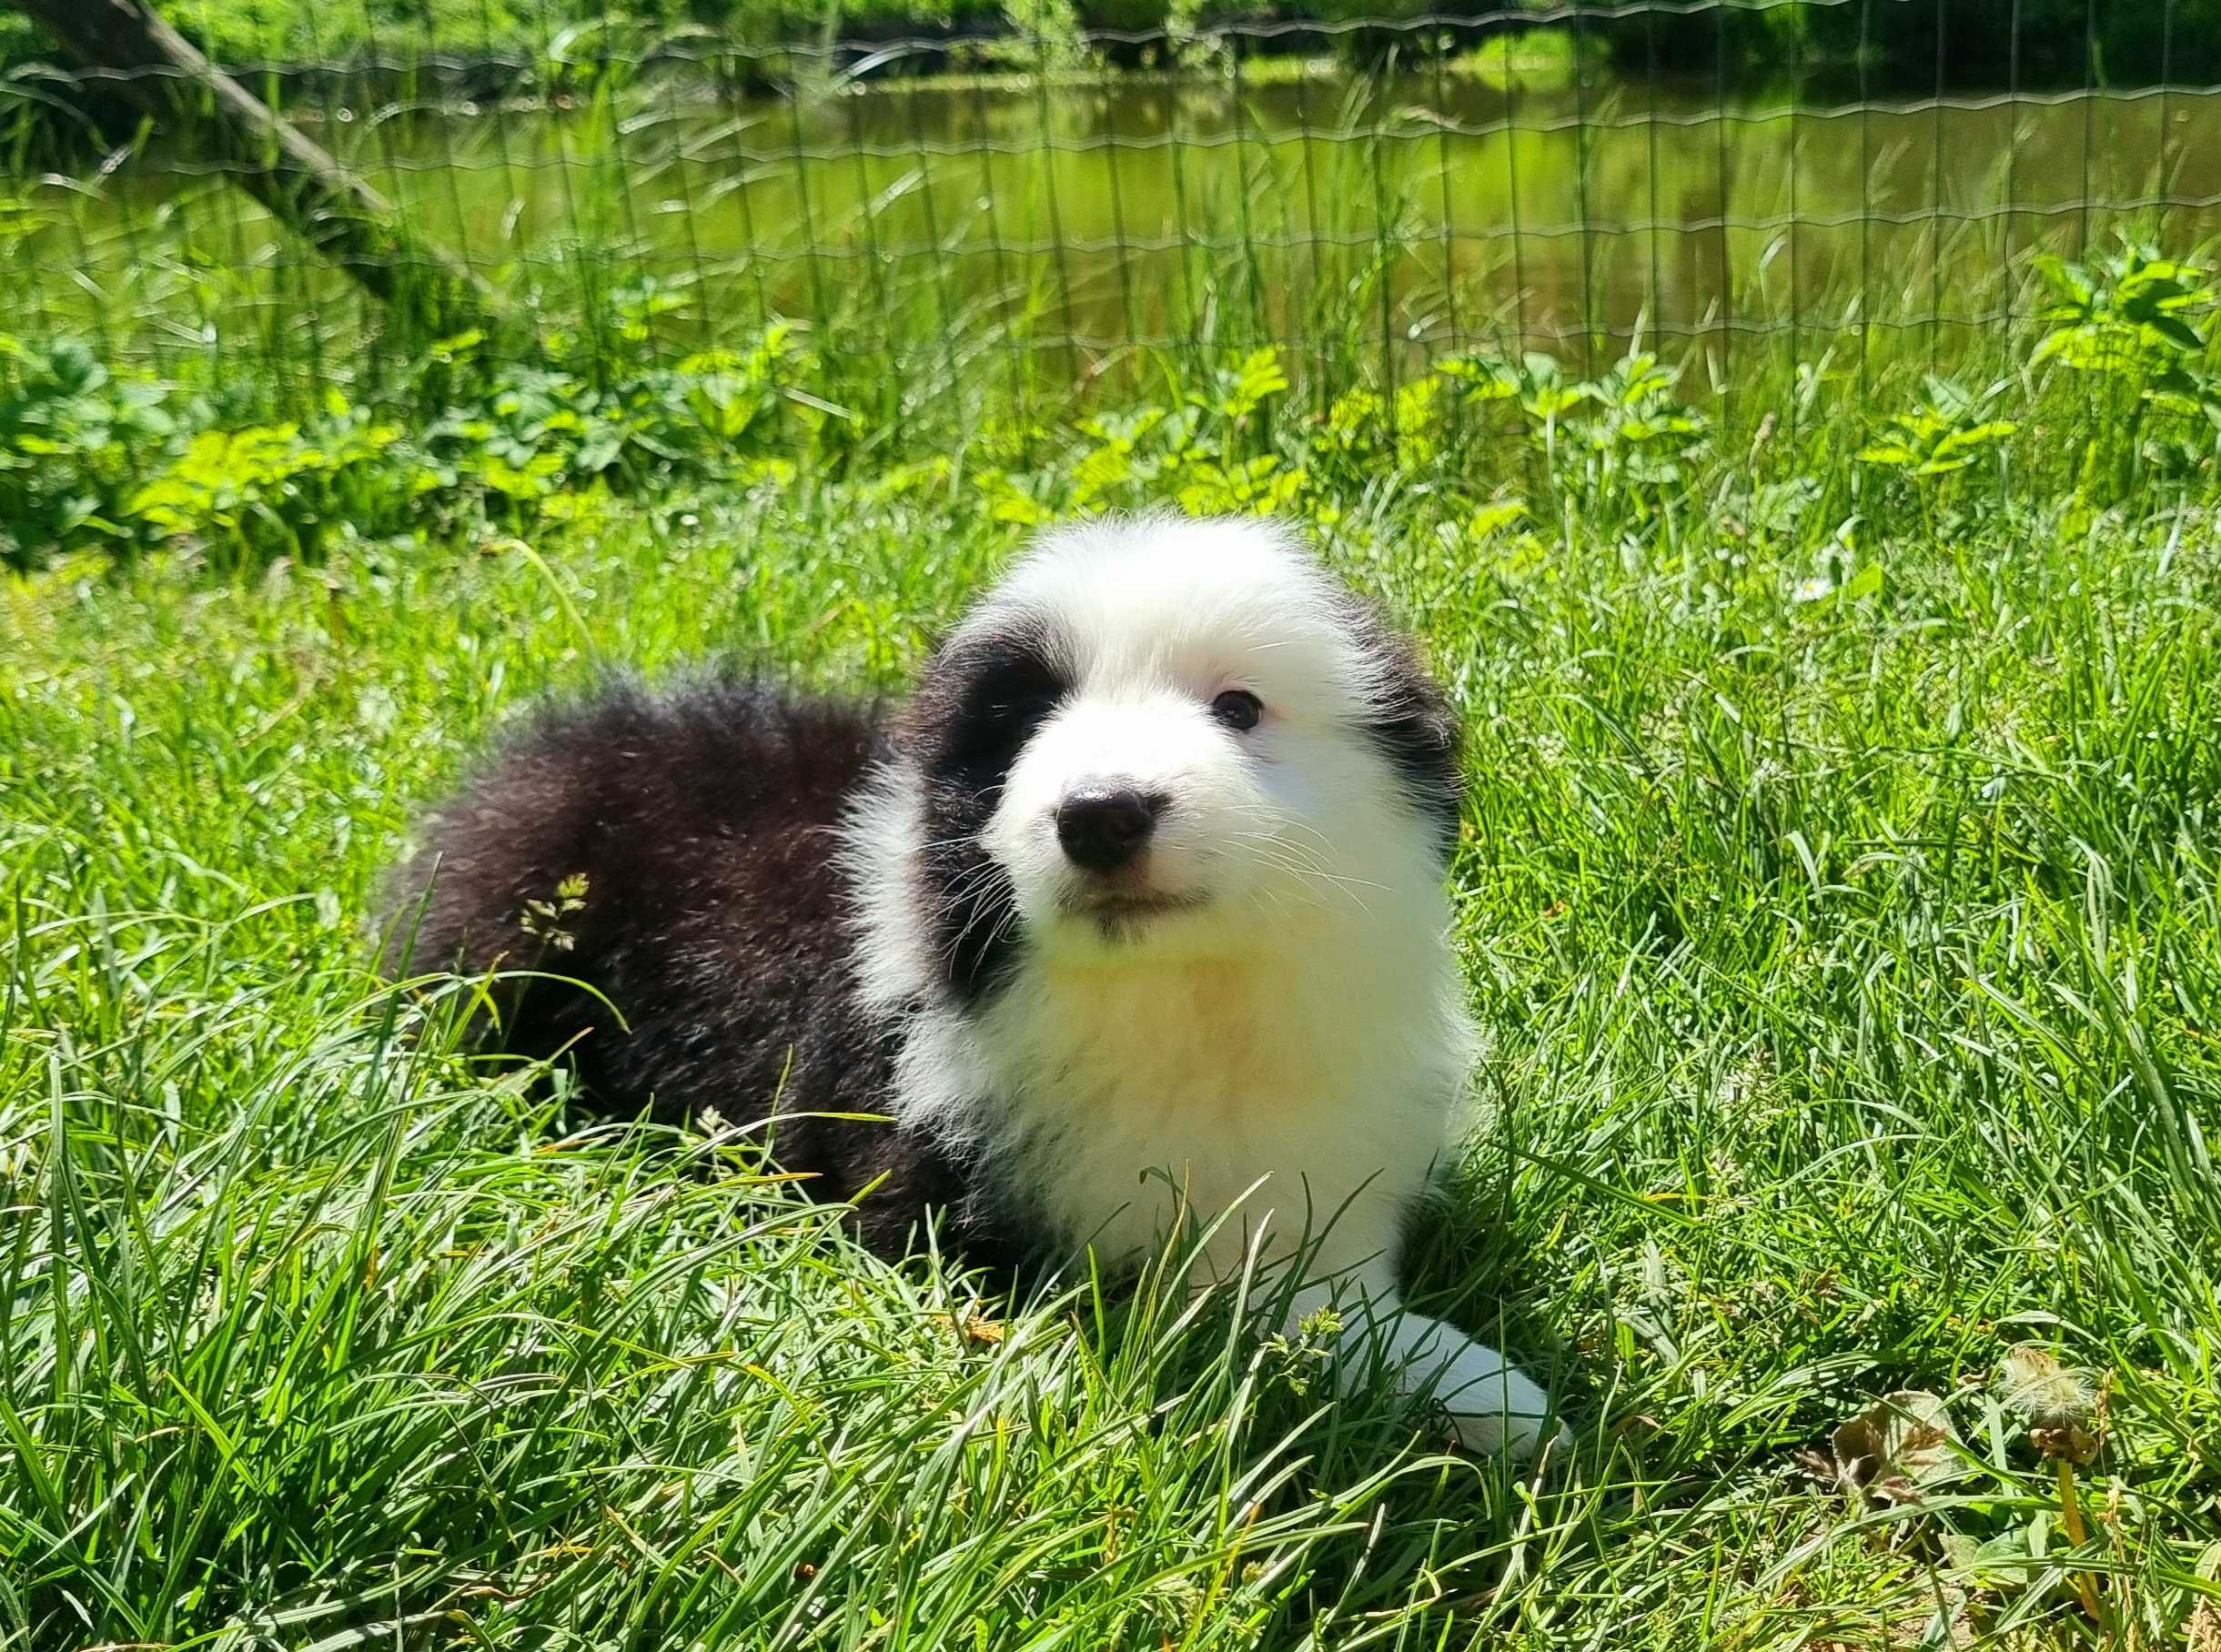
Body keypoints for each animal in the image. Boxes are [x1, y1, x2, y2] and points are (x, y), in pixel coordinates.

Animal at [381, 515, 1563, 1456]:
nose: (1099, 812)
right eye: (1022, 728)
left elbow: (1325, 1294)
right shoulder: (918, 1177)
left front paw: (1475, 1387)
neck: (1171, 1000)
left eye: (1238, 706)